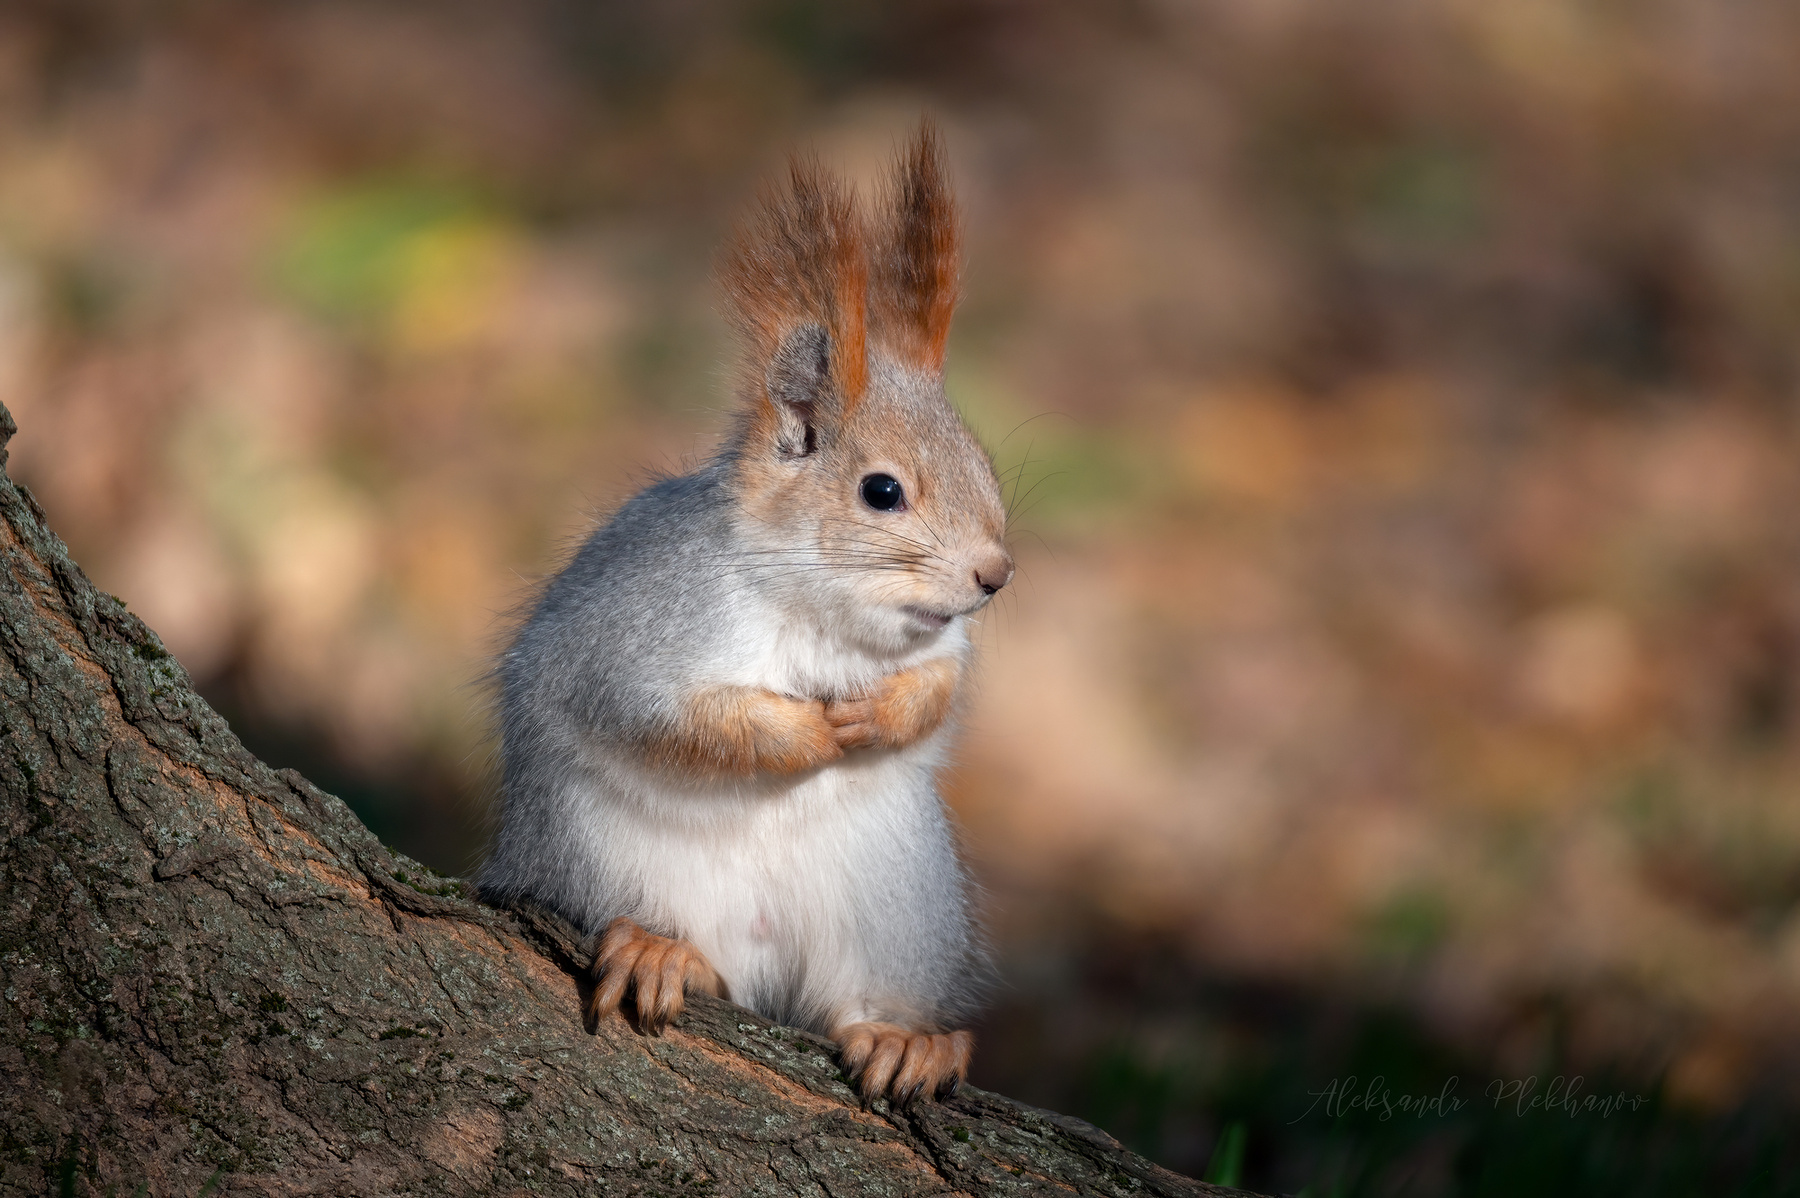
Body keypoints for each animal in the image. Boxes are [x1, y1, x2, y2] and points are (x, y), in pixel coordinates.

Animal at [478, 122, 1012, 1106]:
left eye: (983, 464)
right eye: (882, 491)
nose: (996, 575)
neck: (818, 609)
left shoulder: (944, 644)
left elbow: (941, 687)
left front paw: (883, 714)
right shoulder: (639, 633)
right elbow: (669, 718)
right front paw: (807, 733)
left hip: (898, 901)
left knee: (854, 1002)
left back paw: (905, 1039)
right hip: (599, 855)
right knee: (692, 954)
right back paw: (661, 952)